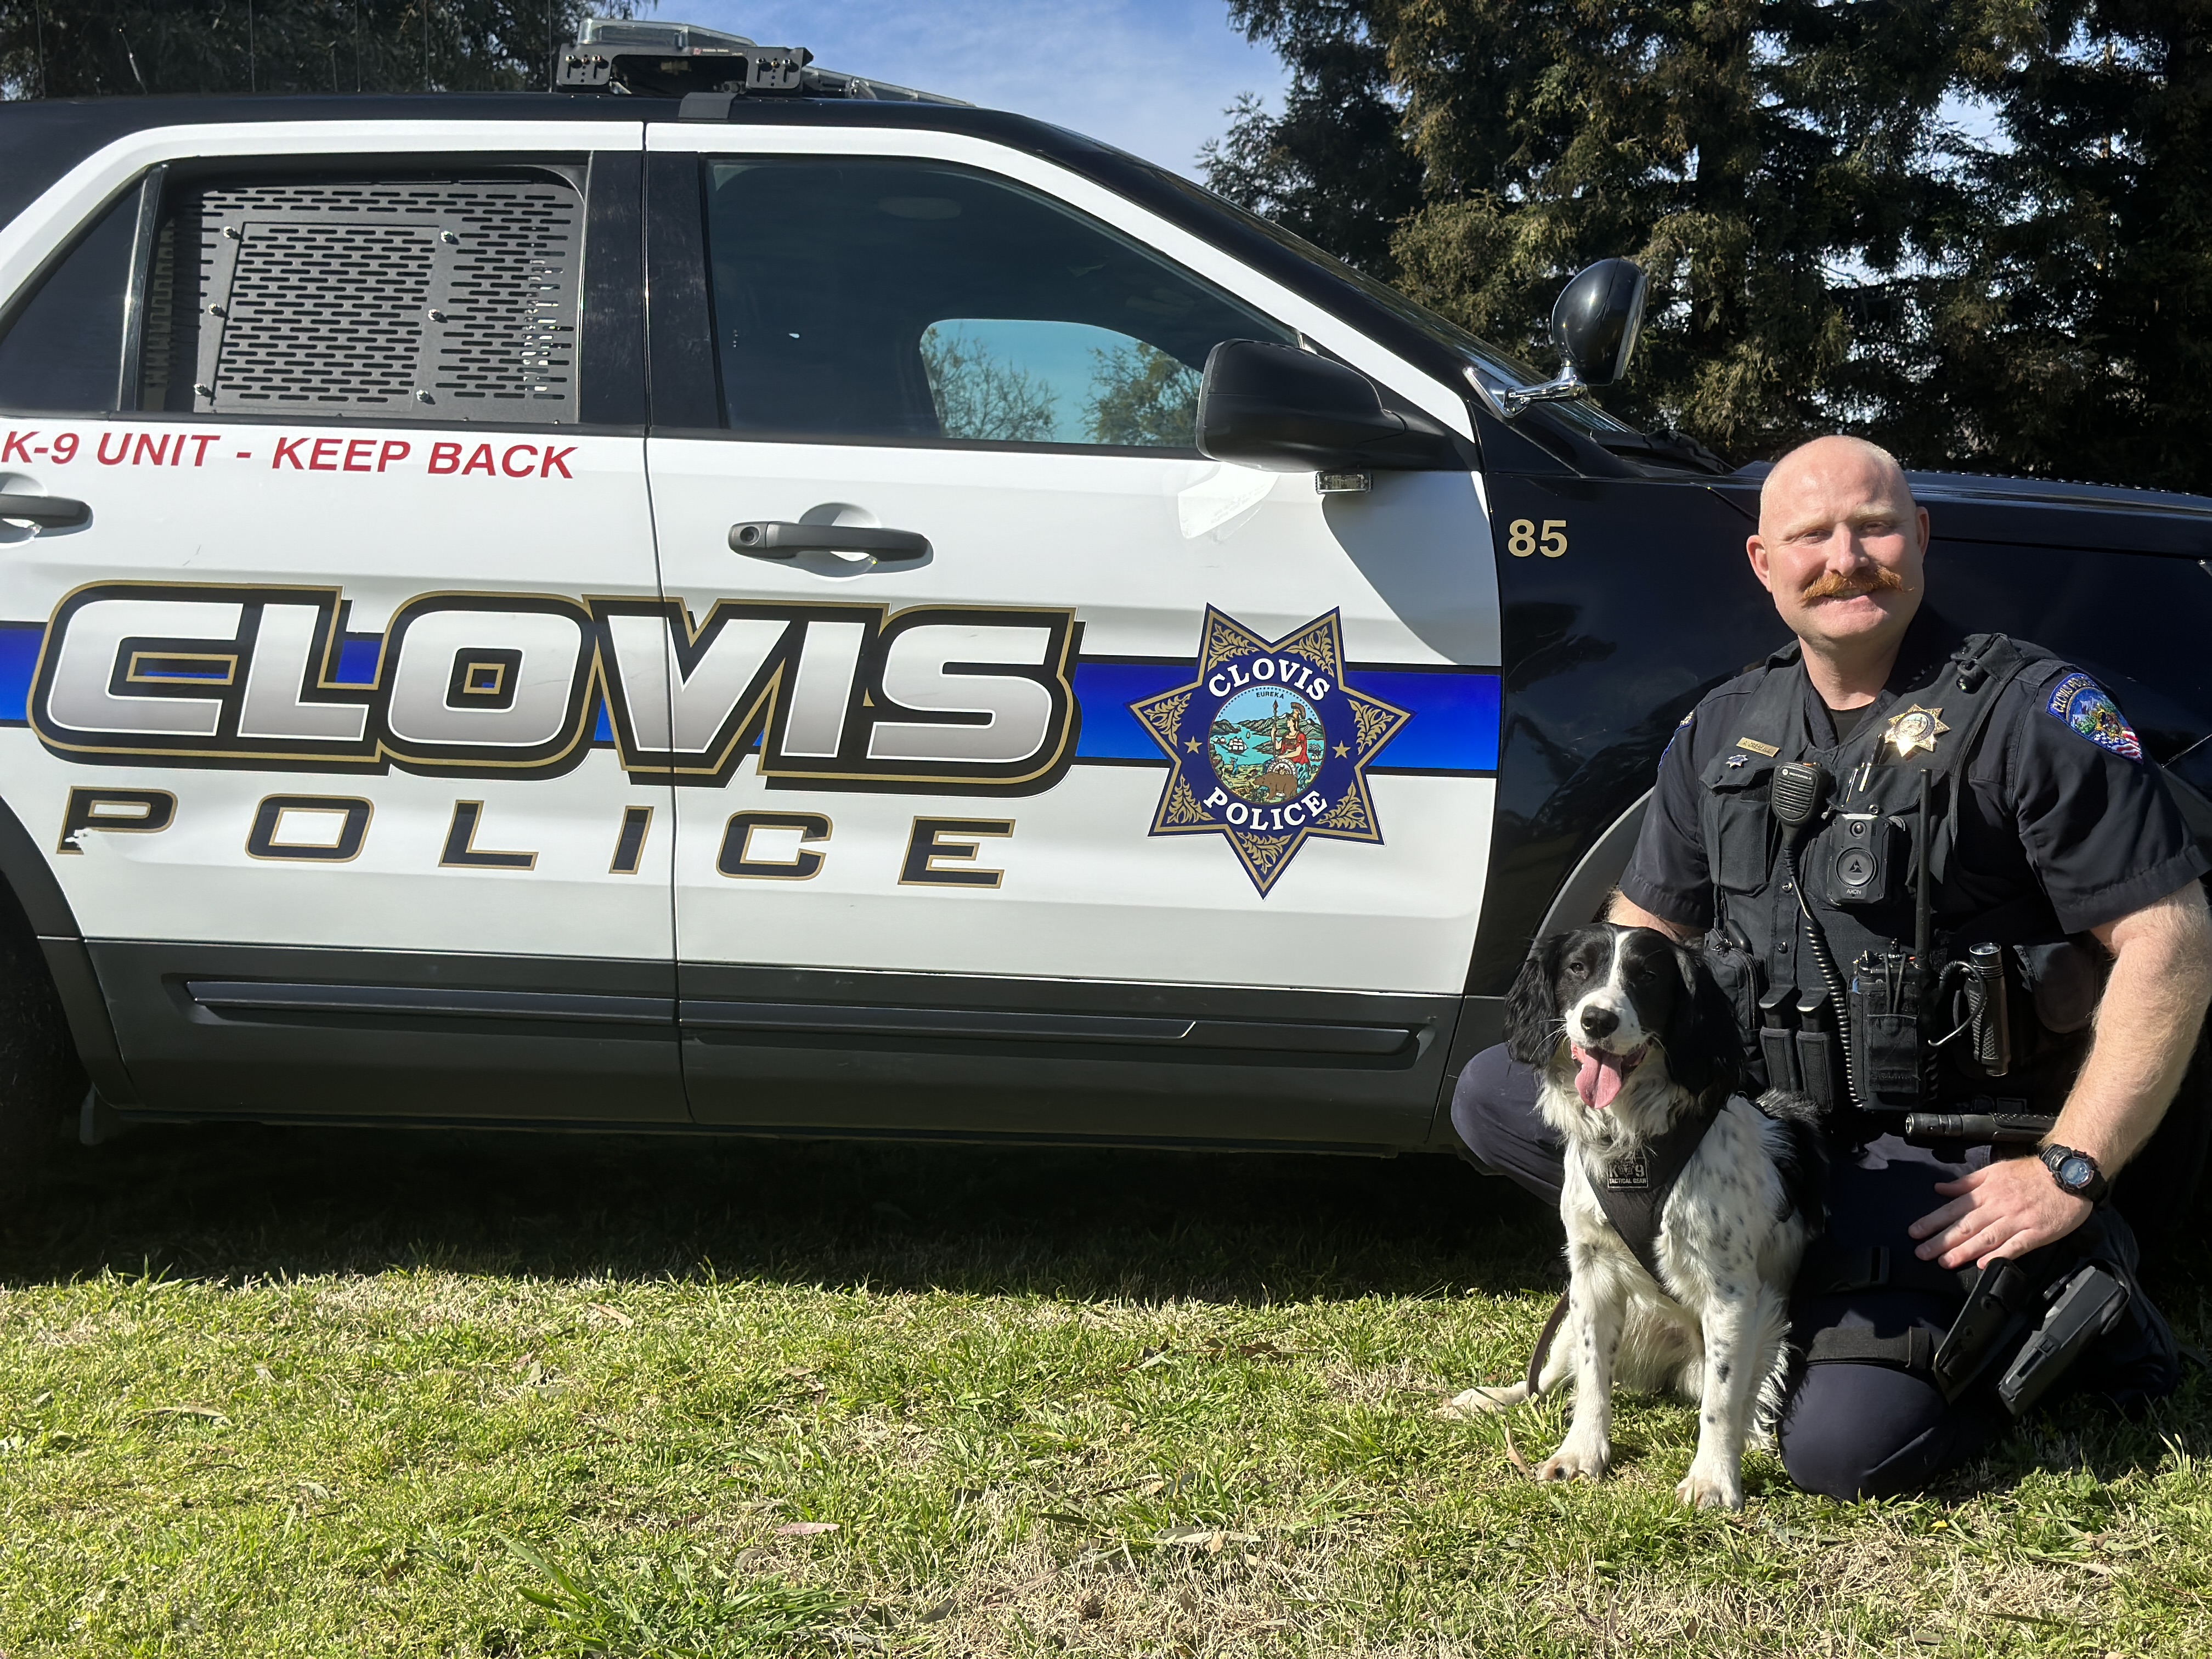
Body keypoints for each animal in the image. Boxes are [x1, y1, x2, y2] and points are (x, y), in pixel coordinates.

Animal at [1442, 929, 1822, 1513]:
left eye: (1647, 976)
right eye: (1577, 968)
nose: (1597, 1020)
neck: (1632, 1143)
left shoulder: (1732, 1295)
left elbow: (1721, 1400)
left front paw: (1713, 1478)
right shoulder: (1591, 1273)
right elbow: (1592, 1380)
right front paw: (1581, 1452)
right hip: (1575, 1317)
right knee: (1547, 1377)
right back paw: (1491, 1397)